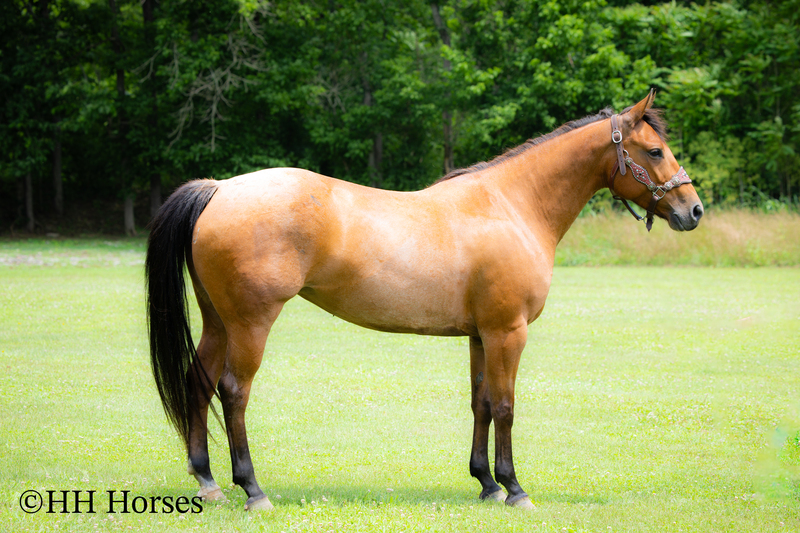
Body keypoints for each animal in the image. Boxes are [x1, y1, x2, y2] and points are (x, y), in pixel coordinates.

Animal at [145, 91, 703, 511]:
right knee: (233, 391)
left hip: (219, 321)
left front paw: (486, 483)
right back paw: (252, 489)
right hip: (251, 323)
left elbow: (481, 402)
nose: (693, 210)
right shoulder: (508, 331)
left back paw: (208, 482)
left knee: (198, 382)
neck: (511, 206)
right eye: (655, 151)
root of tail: (219, 189)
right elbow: (506, 406)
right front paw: (514, 488)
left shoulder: (481, 334)